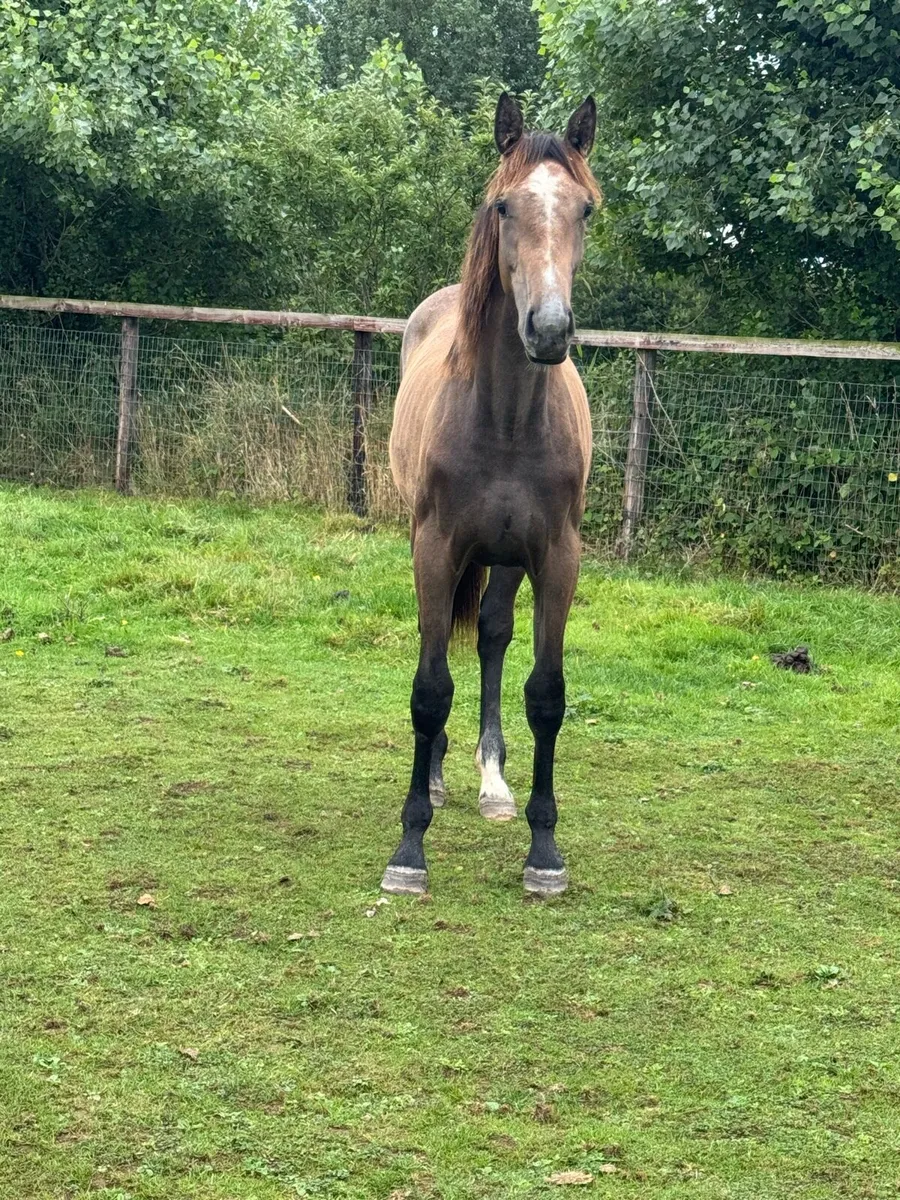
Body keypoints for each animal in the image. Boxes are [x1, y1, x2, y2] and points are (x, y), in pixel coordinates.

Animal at [381, 92, 600, 898]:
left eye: (585, 210)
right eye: (504, 205)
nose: (549, 328)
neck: (505, 418)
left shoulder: (557, 558)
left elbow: (547, 694)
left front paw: (545, 850)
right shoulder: (436, 547)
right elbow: (428, 688)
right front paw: (410, 848)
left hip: (505, 558)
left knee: (495, 637)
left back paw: (492, 783)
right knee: (443, 639)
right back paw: (443, 778)